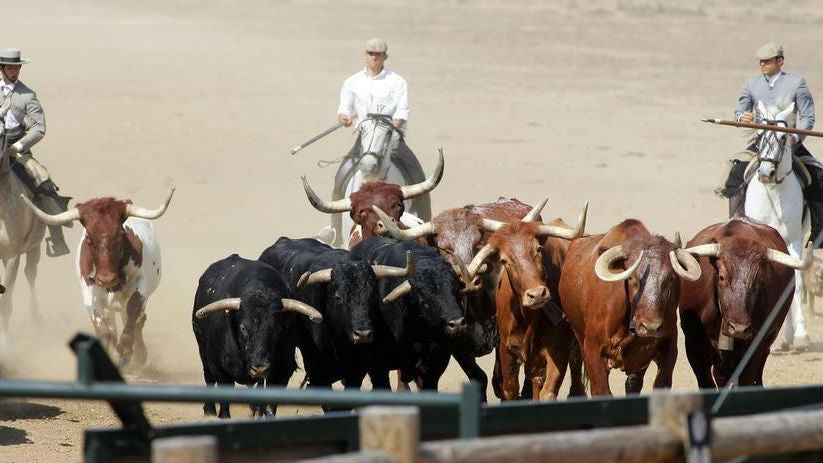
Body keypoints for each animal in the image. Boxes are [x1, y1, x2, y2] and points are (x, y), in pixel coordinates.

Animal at [466, 203, 588, 402]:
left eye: (538, 249)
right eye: (504, 260)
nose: (537, 294)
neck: (528, 318)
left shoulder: (558, 350)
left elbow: (548, 392)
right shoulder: (506, 349)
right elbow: (510, 389)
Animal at [556, 220, 700, 396]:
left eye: (671, 278)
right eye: (632, 278)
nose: (651, 327)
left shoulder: (667, 349)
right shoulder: (593, 350)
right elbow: (601, 390)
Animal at [748, 100, 812, 348]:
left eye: (784, 137)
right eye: (759, 135)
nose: (766, 172)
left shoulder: (794, 239)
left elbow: (796, 283)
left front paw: (801, 335)